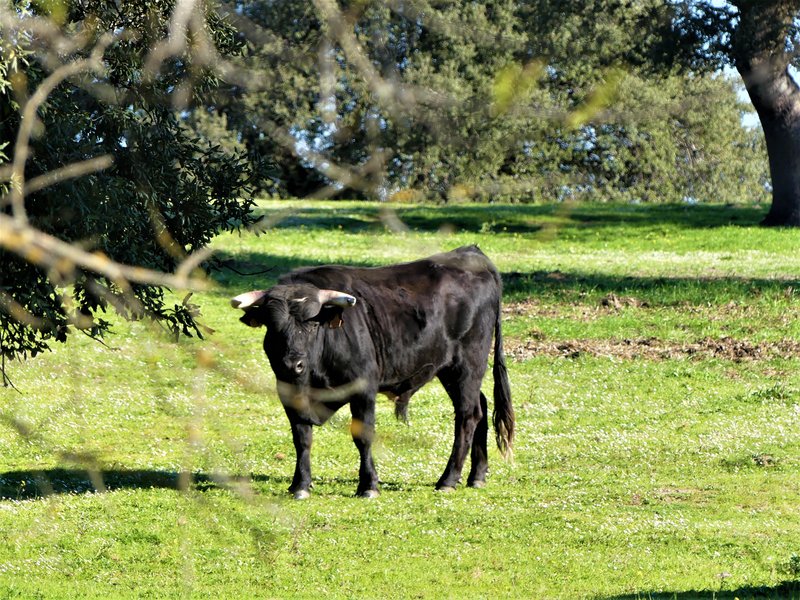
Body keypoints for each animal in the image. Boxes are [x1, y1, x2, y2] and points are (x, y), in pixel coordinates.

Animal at [231, 244, 516, 496]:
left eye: (312, 323)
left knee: (467, 415)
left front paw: (368, 485)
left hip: (467, 365)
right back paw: (477, 476)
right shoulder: (290, 394)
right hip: (451, 371)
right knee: (481, 406)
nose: (291, 365)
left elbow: (363, 436)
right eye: (272, 325)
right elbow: (302, 438)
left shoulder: (363, 389)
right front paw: (300, 484)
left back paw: (448, 479)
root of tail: (472, 254)